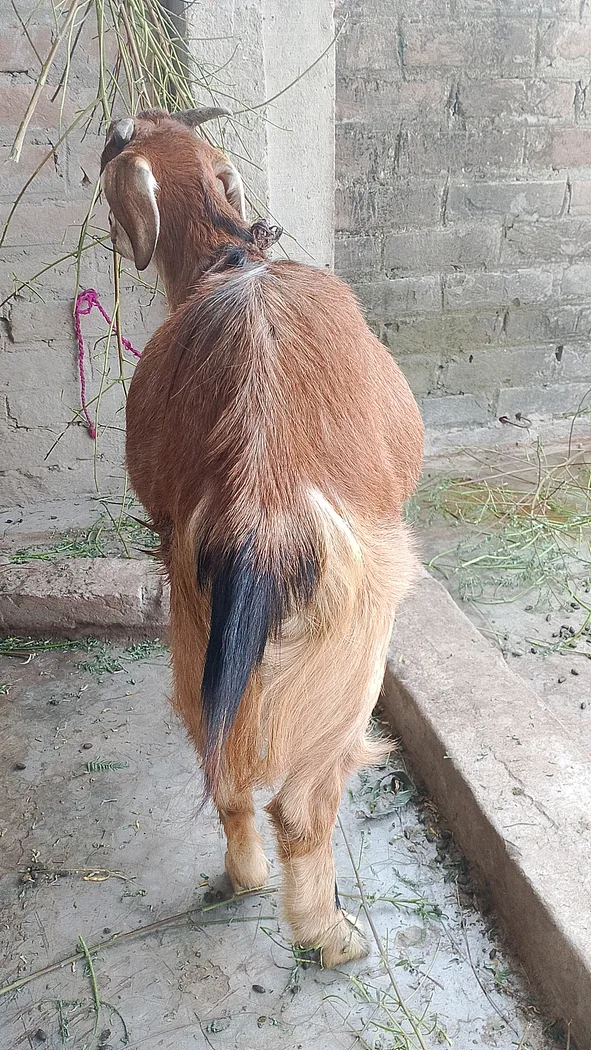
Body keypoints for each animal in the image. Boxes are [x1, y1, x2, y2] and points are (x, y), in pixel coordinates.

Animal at [100, 108, 424, 967]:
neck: (228, 257)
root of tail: (261, 504)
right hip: (356, 630)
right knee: (303, 805)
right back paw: (331, 937)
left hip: (193, 621)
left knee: (225, 774)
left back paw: (239, 877)